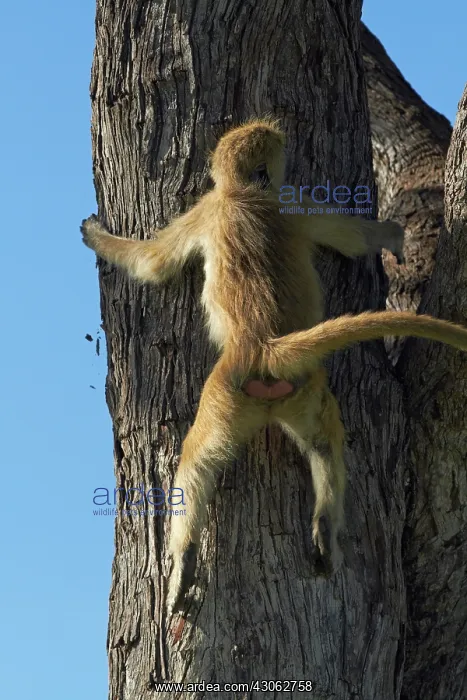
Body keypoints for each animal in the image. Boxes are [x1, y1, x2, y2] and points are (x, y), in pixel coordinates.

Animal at [81, 118, 467, 615]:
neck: (243, 194)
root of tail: (261, 346)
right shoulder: (274, 204)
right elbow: (354, 240)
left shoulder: (218, 207)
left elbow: (153, 263)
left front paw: (97, 237)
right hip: (273, 390)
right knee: (303, 445)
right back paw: (307, 528)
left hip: (239, 390)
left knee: (207, 461)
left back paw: (200, 555)